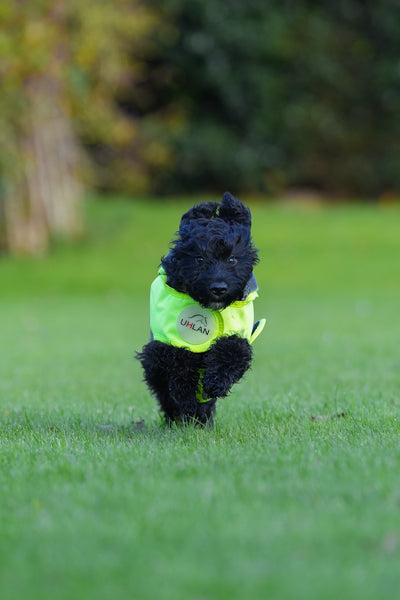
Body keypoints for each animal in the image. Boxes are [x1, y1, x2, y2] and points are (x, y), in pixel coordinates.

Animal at [136, 193, 264, 426]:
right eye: (200, 258)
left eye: (232, 259)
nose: (219, 288)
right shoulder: (165, 342)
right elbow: (179, 362)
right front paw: (187, 395)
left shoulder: (242, 332)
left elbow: (234, 349)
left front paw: (216, 382)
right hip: (153, 369)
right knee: (166, 394)